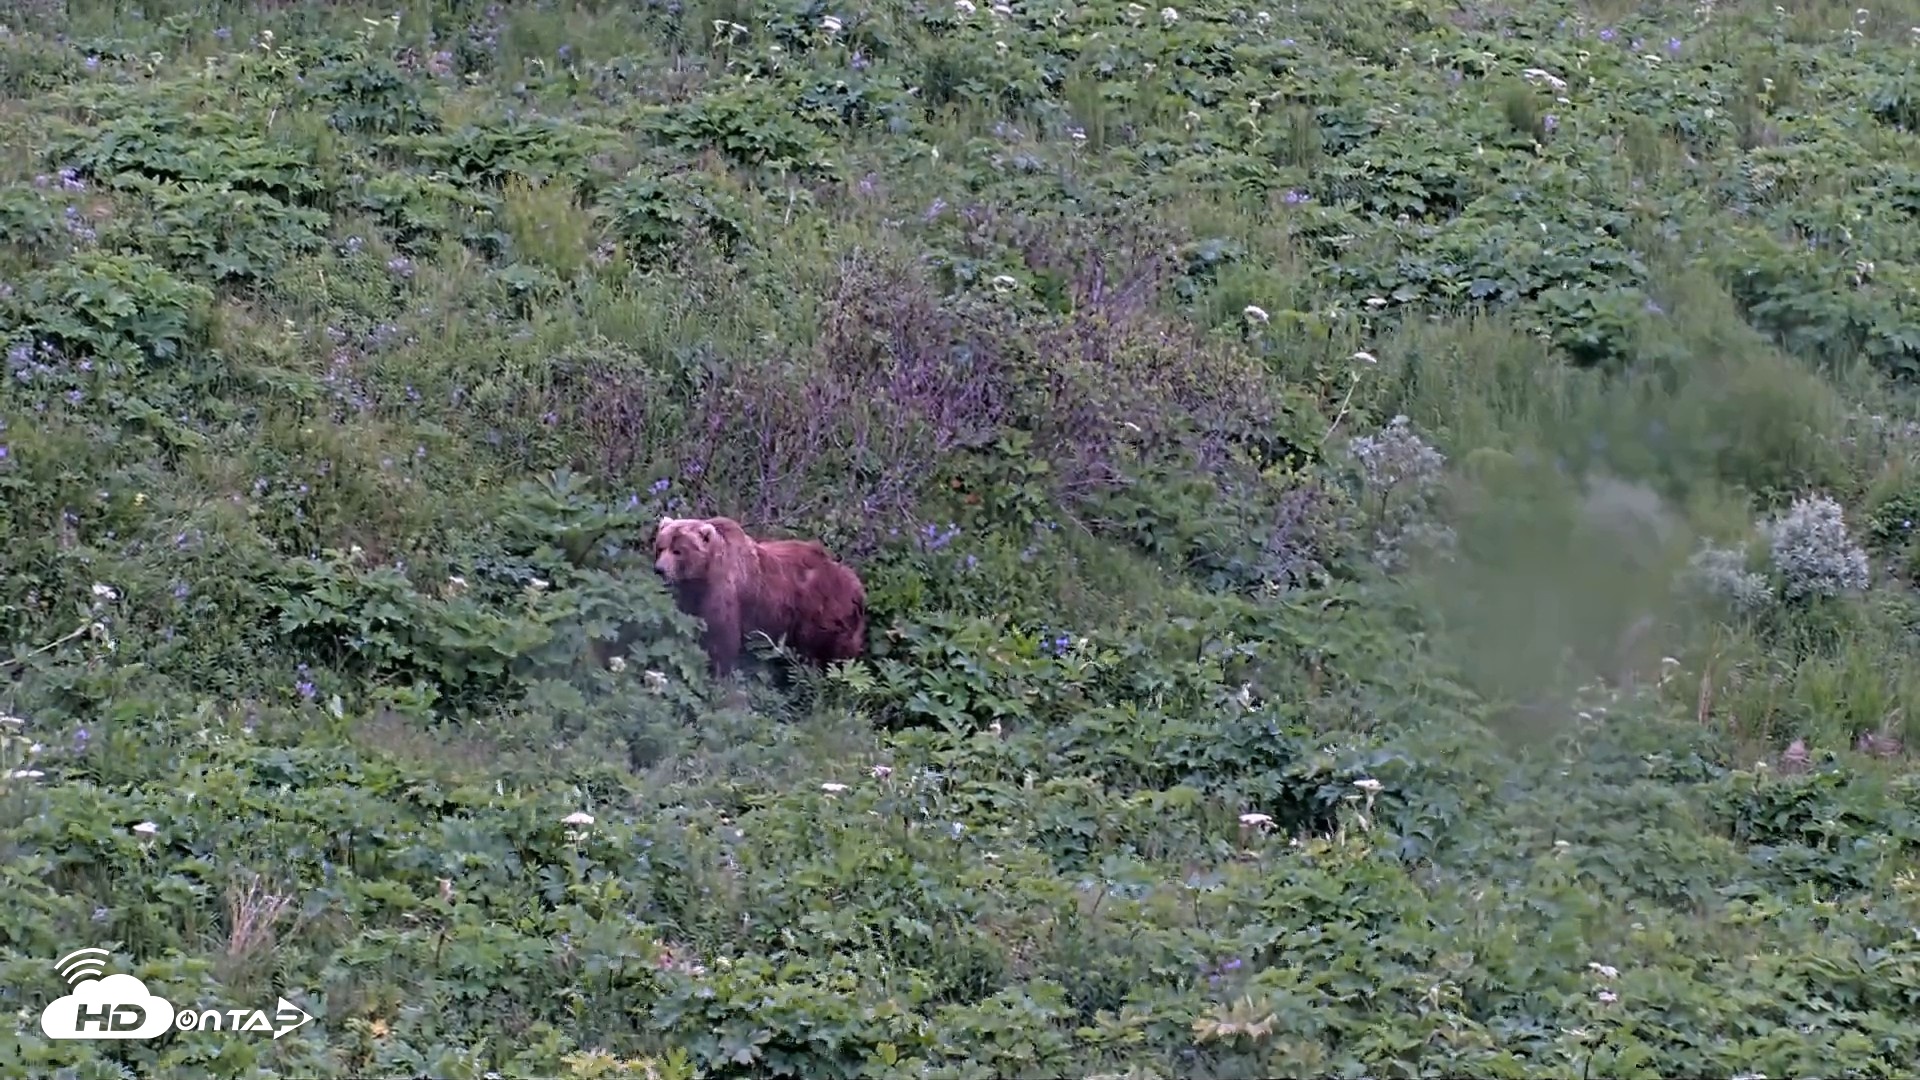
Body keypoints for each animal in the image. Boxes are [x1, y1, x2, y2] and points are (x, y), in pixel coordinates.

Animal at [651, 515, 868, 679]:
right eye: (660, 547)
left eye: (678, 551)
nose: (659, 569)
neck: (704, 572)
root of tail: (857, 587)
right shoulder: (693, 594)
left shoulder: (724, 592)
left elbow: (721, 636)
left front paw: (719, 672)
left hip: (821, 613)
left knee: (825, 652)